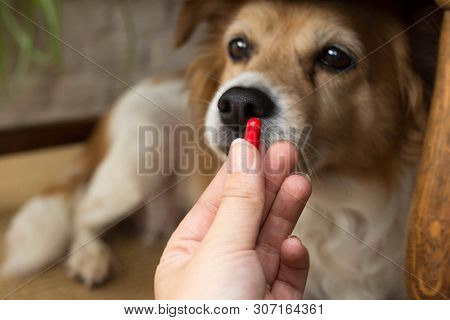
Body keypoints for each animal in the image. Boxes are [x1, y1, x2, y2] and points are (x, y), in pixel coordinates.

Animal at [0, 0, 440, 300]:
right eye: (238, 46)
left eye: (335, 56)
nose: (239, 103)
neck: (337, 200)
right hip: (135, 167)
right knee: (81, 209)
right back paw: (89, 258)